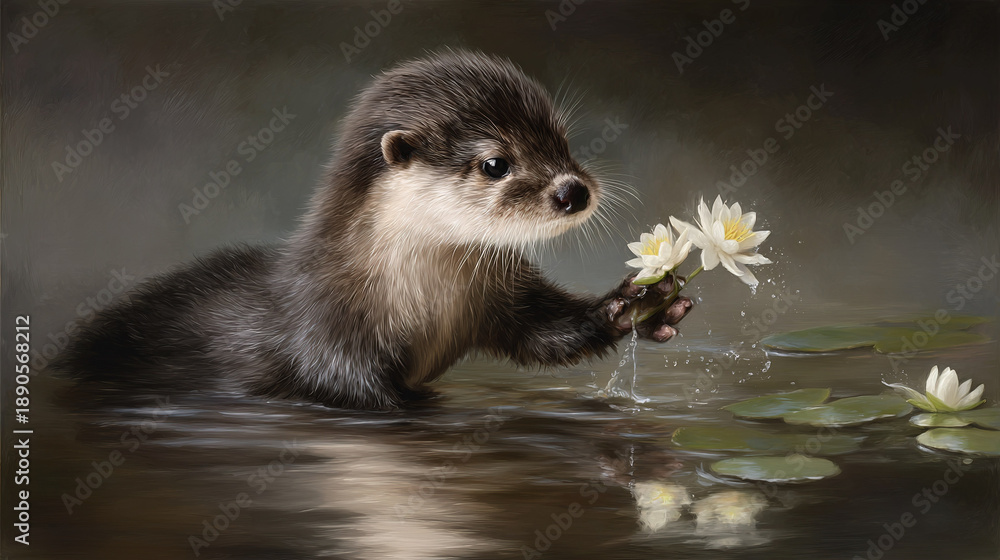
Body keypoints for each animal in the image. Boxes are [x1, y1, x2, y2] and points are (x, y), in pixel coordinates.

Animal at [56, 50, 694, 410]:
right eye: (495, 163)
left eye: (560, 139)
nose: (572, 190)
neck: (418, 294)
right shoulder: (329, 338)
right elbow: (360, 394)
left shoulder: (497, 296)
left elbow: (544, 335)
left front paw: (640, 303)